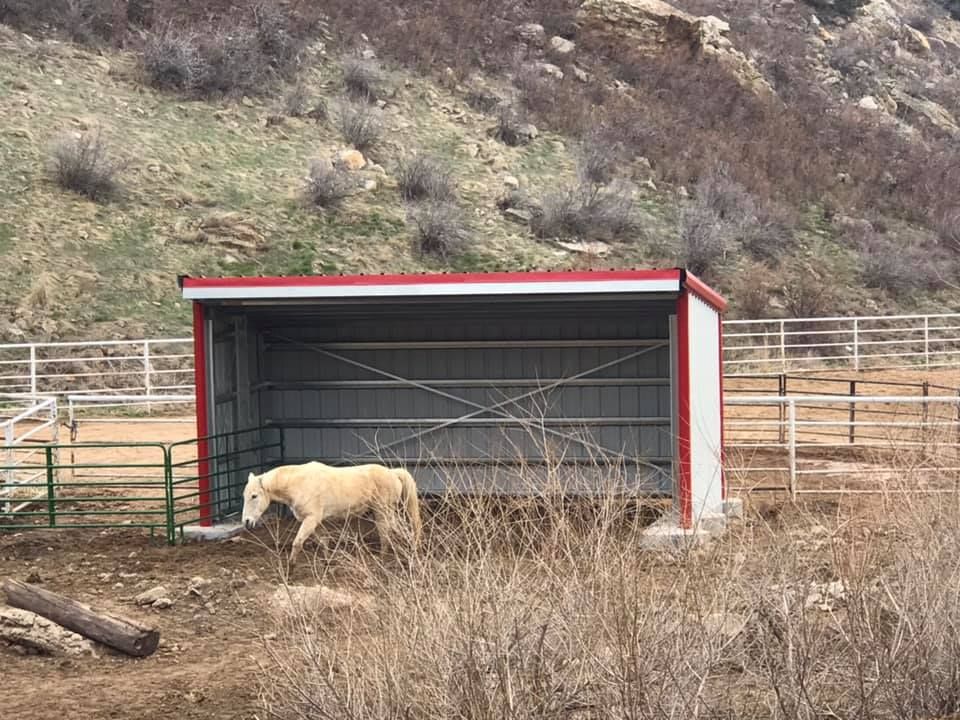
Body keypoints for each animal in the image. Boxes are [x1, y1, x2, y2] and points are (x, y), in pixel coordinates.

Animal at [240, 462, 420, 564]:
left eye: (254, 496)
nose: (246, 522)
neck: (298, 483)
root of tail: (393, 473)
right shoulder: (315, 521)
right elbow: (324, 542)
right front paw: (327, 562)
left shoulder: (311, 519)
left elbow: (298, 542)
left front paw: (291, 568)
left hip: (383, 512)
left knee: (389, 534)